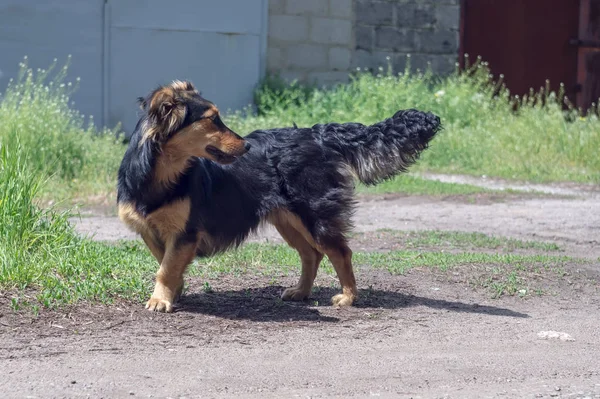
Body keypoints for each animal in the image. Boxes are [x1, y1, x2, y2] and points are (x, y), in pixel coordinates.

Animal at [118, 80, 440, 312]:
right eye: (212, 120)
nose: (247, 146)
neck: (161, 174)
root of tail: (318, 134)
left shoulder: (186, 231)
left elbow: (166, 267)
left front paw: (161, 299)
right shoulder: (151, 231)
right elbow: (166, 262)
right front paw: (176, 291)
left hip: (314, 214)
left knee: (340, 252)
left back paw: (348, 297)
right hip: (287, 219)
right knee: (312, 254)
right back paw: (301, 292)